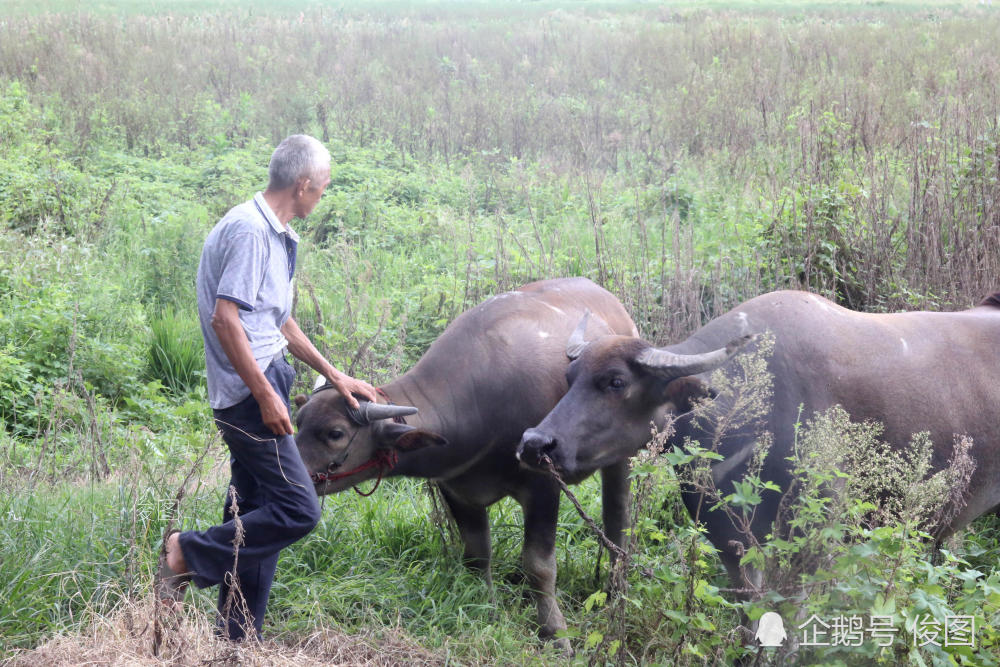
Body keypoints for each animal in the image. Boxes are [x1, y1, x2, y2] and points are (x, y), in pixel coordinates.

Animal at [294, 276, 640, 640]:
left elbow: (539, 565)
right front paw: (488, 610)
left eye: (335, 433)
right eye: (298, 421)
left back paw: (615, 589)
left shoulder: (544, 486)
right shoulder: (456, 490)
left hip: (622, 458)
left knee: (617, 517)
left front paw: (554, 632)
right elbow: (476, 556)